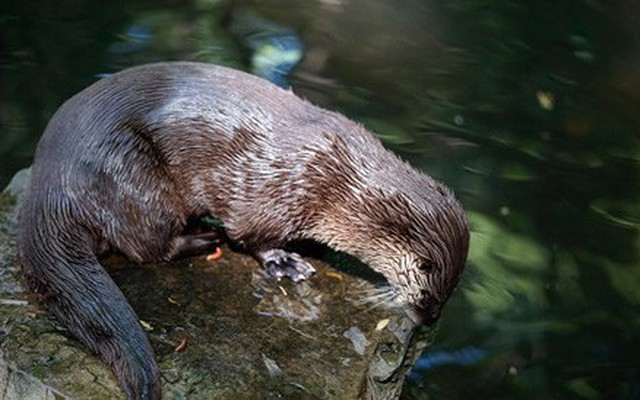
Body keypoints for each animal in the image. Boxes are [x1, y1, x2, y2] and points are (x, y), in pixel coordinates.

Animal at [18, 61, 470, 398]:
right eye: (428, 292)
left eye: (448, 294)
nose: (428, 318)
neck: (341, 184)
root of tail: (50, 182)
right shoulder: (275, 189)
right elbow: (249, 233)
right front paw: (285, 261)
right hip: (135, 177)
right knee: (146, 246)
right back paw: (203, 237)